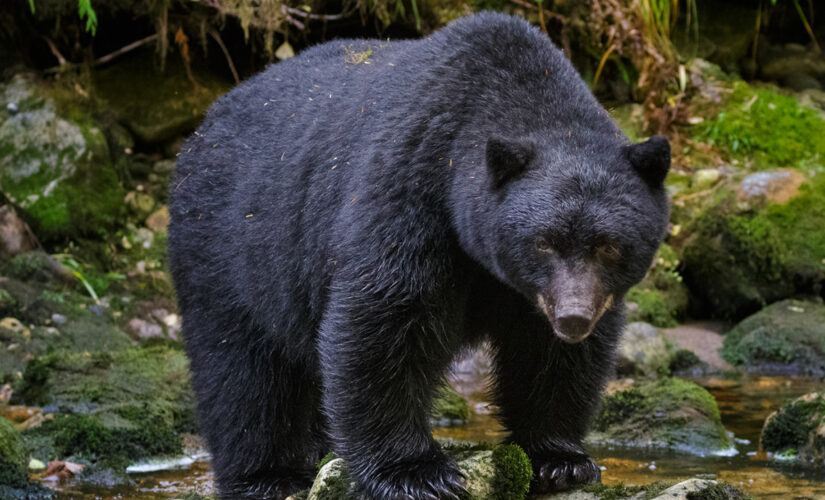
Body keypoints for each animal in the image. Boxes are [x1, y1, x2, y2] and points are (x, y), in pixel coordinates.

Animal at [166, 10, 668, 500]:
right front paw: (415, 472)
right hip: (230, 248)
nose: (573, 318)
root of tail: (204, 126)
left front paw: (559, 460)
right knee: (242, 371)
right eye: (544, 241)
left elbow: (549, 355)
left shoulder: (539, 293)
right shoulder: (411, 190)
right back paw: (267, 475)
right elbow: (385, 322)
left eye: (609, 245)